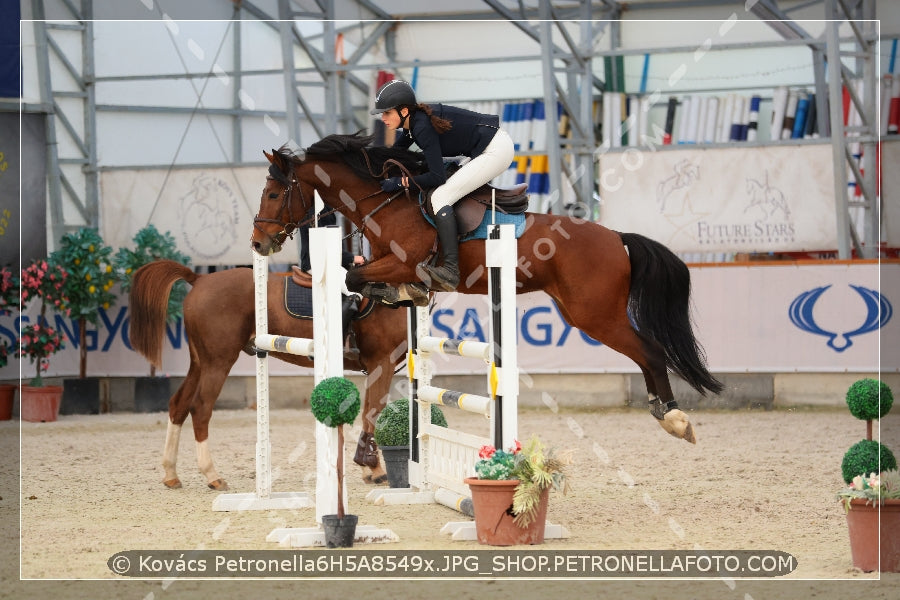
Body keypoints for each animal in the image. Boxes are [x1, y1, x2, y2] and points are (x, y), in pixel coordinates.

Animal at [127, 260, 408, 490]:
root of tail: (200, 279)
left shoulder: (376, 367)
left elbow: (370, 411)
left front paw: (369, 468)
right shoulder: (382, 362)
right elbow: (373, 411)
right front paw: (374, 469)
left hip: (200, 363)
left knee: (179, 405)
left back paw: (170, 474)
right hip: (218, 362)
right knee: (200, 408)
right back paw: (212, 475)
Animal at [251, 134, 724, 440]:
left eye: (273, 193)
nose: (258, 242)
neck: (385, 203)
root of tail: (615, 237)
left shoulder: (403, 261)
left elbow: (353, 277)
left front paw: (388, 296)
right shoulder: (389, 264)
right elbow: (360, 277)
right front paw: (399, 296)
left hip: (597, 315)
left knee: (651, 352)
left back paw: (675, 419)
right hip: (581, 313)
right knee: (645, 353)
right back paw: (664, 411)